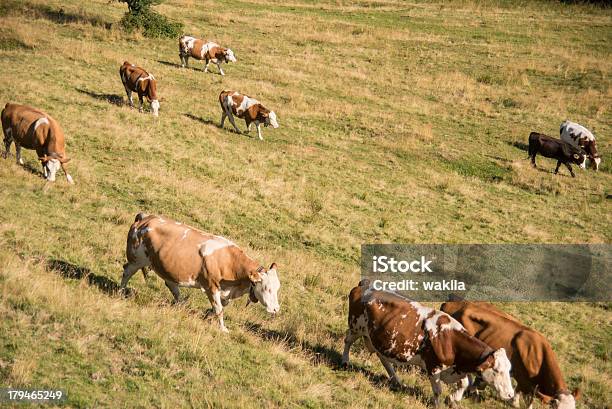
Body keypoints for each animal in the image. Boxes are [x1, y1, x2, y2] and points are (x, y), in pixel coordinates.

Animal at [120, 214, 282, 332]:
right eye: (267, 288)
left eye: (277, 288)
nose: (276, 309)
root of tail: (145, 218)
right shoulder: (211, 286)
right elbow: (219, 309)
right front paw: (223, 329)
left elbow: (220, 306)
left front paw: (207, 316)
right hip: (137, 259)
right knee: (127, 271)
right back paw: (121, 292)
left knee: (172, 286)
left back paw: (181, 304)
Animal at [342, 280, 512, 408]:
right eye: (497, 370)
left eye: (509, 370)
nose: (510, 394)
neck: (451, 341)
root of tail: (365, 284)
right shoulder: (433, 367)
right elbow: (438, 390)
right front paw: (438, 404)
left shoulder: (456, 369)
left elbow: (463, 384)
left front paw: (453, 399)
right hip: (356, 326)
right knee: (348, 340)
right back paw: (345, 361)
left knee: (382, 358)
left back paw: (396, 380)